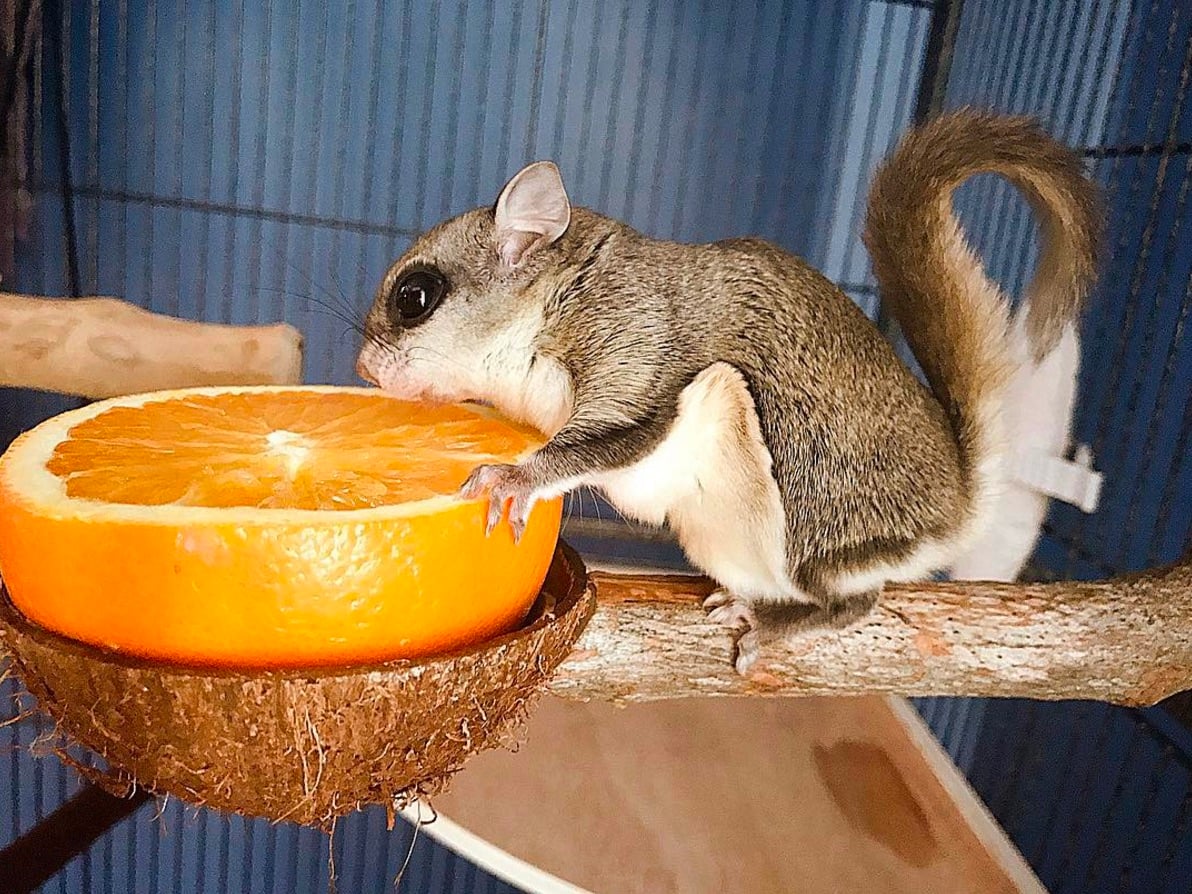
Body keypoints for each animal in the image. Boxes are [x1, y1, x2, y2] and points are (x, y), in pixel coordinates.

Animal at [356, 108, 1101, 674]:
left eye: (416, 295)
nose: (366, 369)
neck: (555, 298)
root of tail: (956, 504)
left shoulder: (636, 350)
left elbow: (599, 437)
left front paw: (512, 477)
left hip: (812, 516)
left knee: (854, 602)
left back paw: (777, 626)